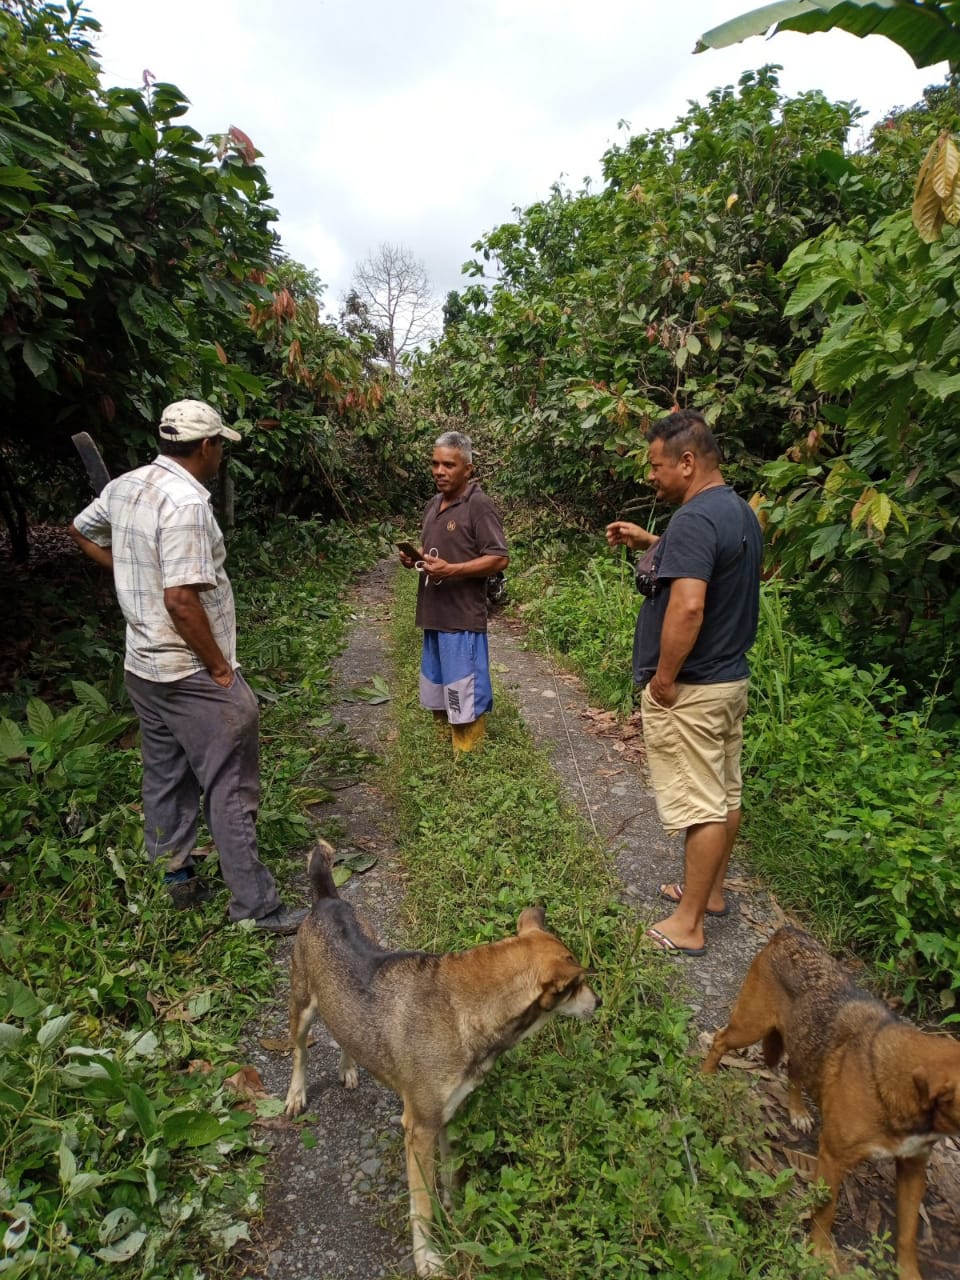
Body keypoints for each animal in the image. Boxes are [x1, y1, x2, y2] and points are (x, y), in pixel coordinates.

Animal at [283, 841, 600, 1277]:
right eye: (578, 984)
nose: (598, 1002)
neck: (468, 1006)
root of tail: (327, 898)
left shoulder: (448, 1114)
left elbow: (451, 1173)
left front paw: (455, 1211)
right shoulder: (419, 1129)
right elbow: (422, 1207)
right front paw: (428, 1257)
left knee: (345, 1034)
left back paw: (349, 1067)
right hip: (302, 1006)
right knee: (299, 1051)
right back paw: (295, 1094)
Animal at [702, 926, 960, 1280]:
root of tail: (788, 932)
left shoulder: (913, 1168)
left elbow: (907, 1234)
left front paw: (908, 1272)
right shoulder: (833, 1158)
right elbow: (826, 1210)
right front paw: (821, 1255)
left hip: (800, 1042)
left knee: (794, 1070)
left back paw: (797, 1110)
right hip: (750, 1027)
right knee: (719, 1041)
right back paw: (702, 1079)